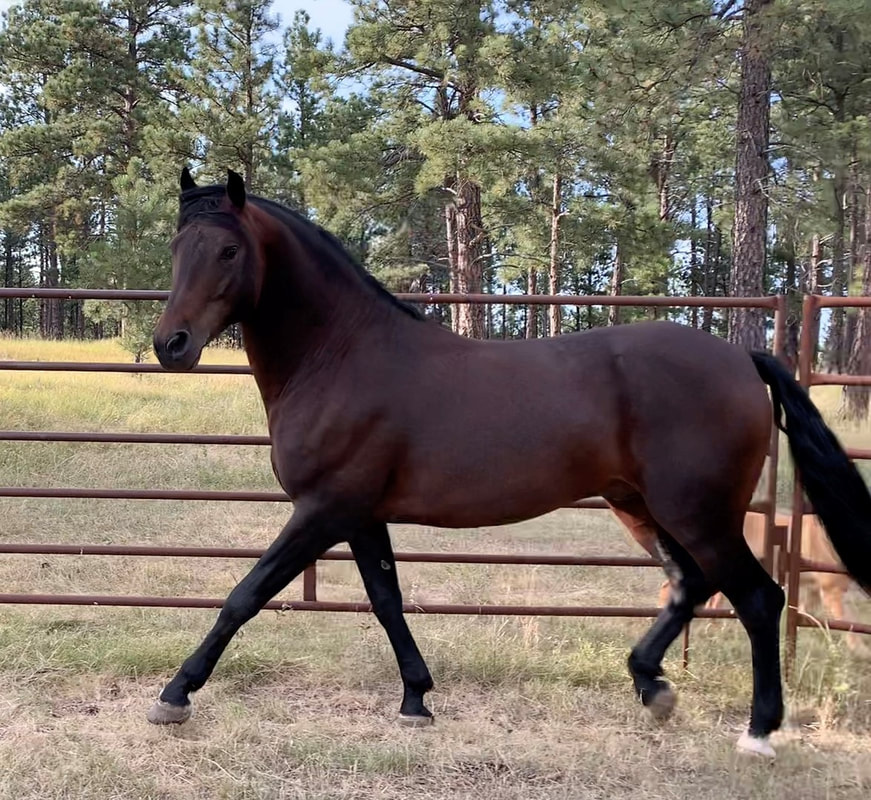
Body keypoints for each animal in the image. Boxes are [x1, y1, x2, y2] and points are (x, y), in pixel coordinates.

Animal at [149, 168, 871, 759]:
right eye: (178, 248)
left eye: (229, 250)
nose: (171, 345)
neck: (342, 356)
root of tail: (740, 359)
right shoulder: (360, 516)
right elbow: (386, 600)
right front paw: (416, 699)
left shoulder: (323, 510)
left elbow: (245, 595)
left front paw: (175, 694)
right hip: (642, 507)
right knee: (689, 585)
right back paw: (651, 686)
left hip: (699, 513)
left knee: (758, 597)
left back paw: (758, 731)